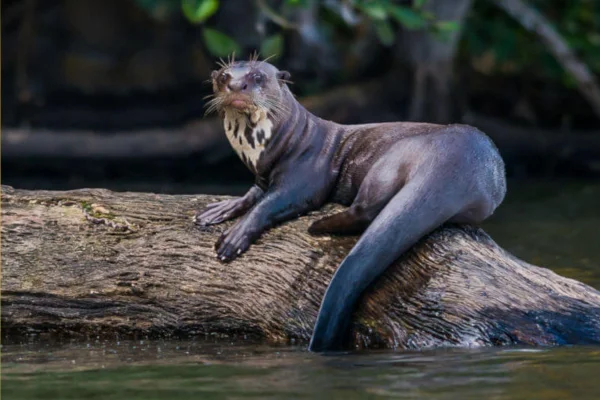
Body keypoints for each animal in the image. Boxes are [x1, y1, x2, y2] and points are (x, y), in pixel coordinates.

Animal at [196, 55, 506, 350]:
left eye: (257, 76)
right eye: (224, 76)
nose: (236, 86)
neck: (285, 141)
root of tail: (454, 162)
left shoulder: (305, 177)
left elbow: (271, 203)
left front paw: (234, 238)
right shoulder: (262, 176)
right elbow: (253, 194)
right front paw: (219, 210)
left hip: (391, 159)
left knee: (367, 209)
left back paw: (319, 226)